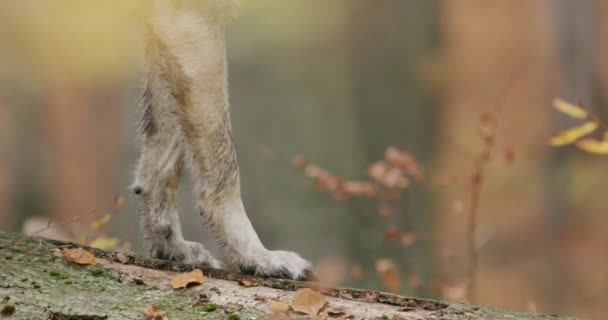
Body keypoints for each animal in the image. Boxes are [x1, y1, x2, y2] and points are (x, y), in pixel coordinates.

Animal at [133, 0, 314, 280]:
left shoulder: (163, 29)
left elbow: (160, 164)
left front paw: (171, 248)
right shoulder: (189, 21)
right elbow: (224, 171)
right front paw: (258, 257)